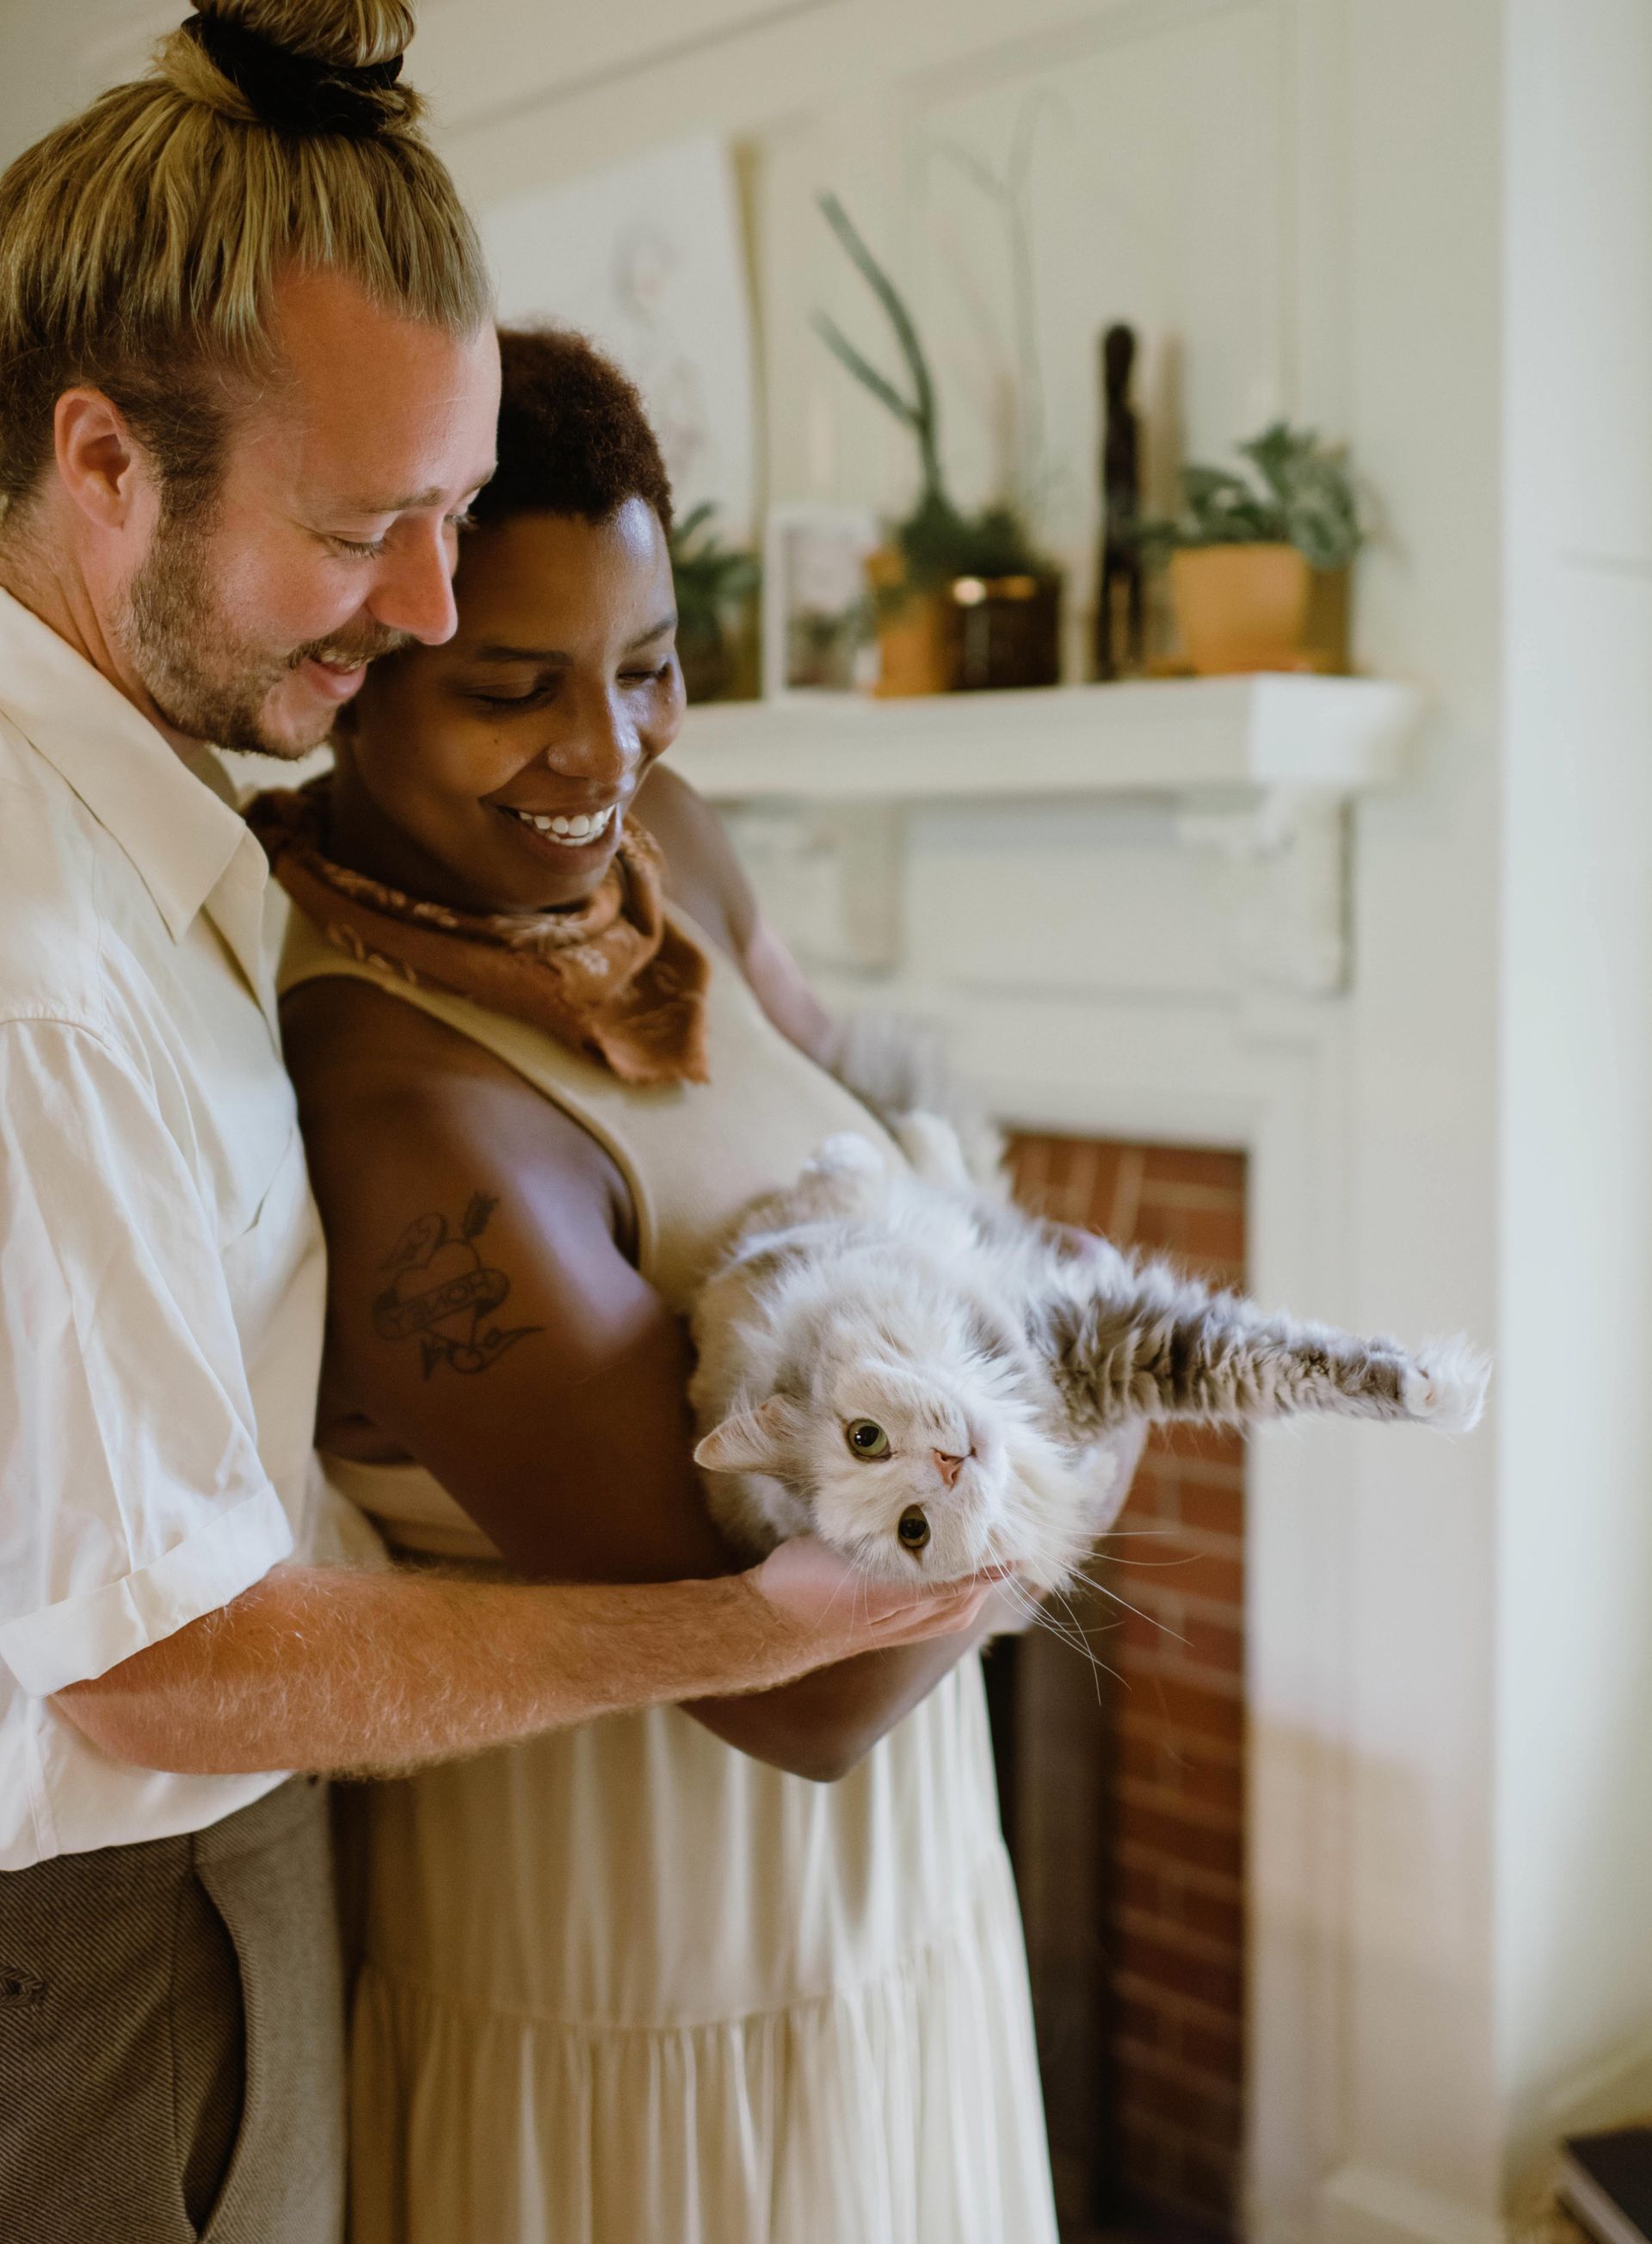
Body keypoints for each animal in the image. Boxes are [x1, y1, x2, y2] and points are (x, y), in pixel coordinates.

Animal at [688, 1118, 1487, 1593]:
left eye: (865, 1438)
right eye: (913, 1531)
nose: (948, 1463)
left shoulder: (1088, 1328)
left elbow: (1310, 1361)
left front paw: (1443, 1388)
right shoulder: (1125, 1357)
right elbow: (1284, 1369)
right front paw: (1455, 1392)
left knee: (939, 1184)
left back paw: (891, 1138)